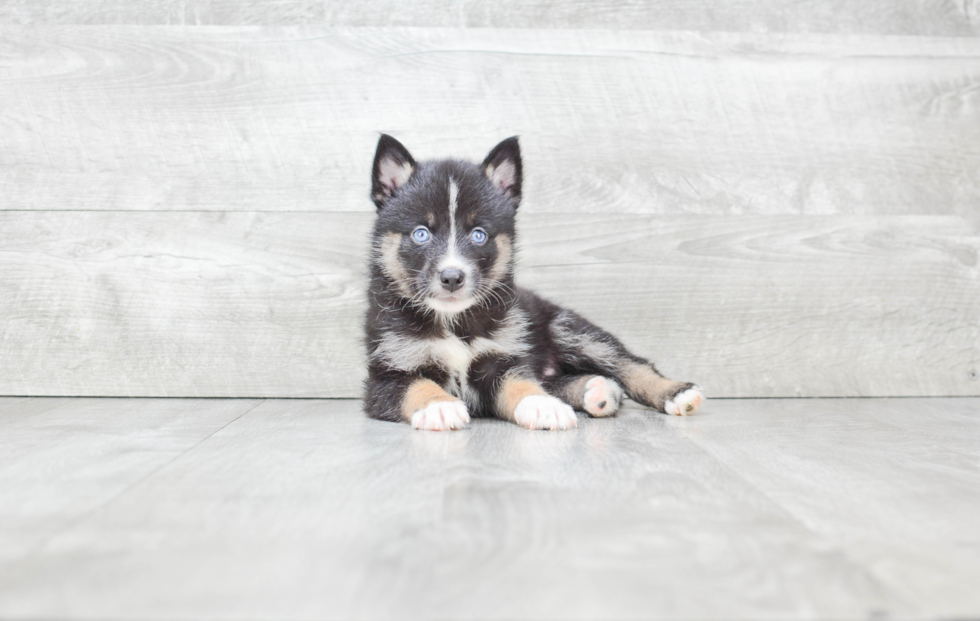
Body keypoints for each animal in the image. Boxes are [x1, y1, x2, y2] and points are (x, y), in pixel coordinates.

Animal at [364, 133, 700, 428]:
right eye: (421, 233)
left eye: (478, 235)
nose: (451, 277)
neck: (453, 321)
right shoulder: (385, 375)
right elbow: (416, 385)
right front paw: (439, 406)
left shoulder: (503, 358)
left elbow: (521, 383)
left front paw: (541, 406)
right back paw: (597, 392)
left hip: (567, 328)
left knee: (629, 364)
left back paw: (676, 393)